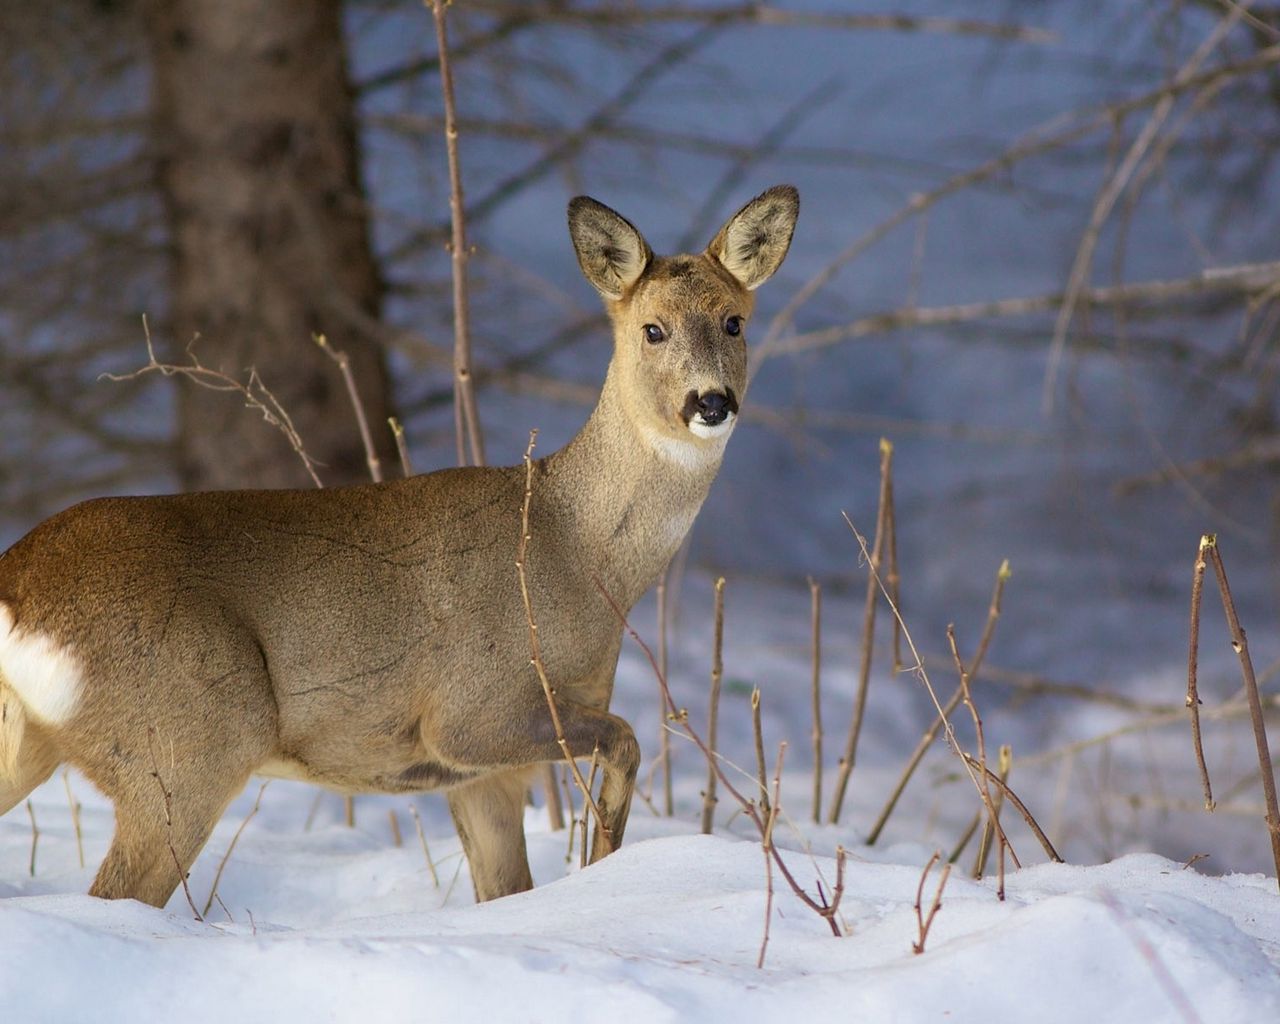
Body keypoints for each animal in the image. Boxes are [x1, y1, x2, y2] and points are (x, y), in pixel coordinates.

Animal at [0, 181, 798, 906]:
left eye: (734, 322)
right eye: (653, 329)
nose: (711, 402)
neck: (574, 549)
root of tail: (19, 584)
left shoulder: (484, 776)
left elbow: (504, 889)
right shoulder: (471, 714)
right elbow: (627, 738)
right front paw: (604, 863)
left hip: (42, 741)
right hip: (188, 740)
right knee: (118, 891)